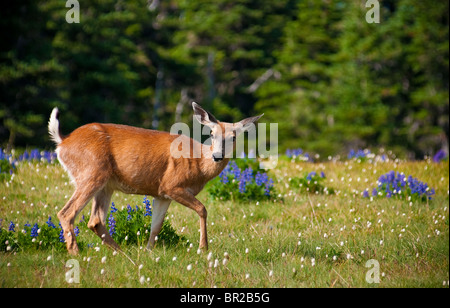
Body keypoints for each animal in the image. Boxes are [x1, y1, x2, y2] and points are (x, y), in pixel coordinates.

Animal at [47, 102, 262, 254]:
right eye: (211, 133)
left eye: (234, 137)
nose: (217, 156)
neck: (199, 164)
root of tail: (63, 142)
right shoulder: (172, 185)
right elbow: (202, 209)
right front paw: (203, 248)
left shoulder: (161, 194)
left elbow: (156, 226)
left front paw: (148, 251)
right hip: (91, 173)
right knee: (67, 213)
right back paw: (75, 252)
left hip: (105, 185)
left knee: (95, 221)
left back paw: (123, 254)